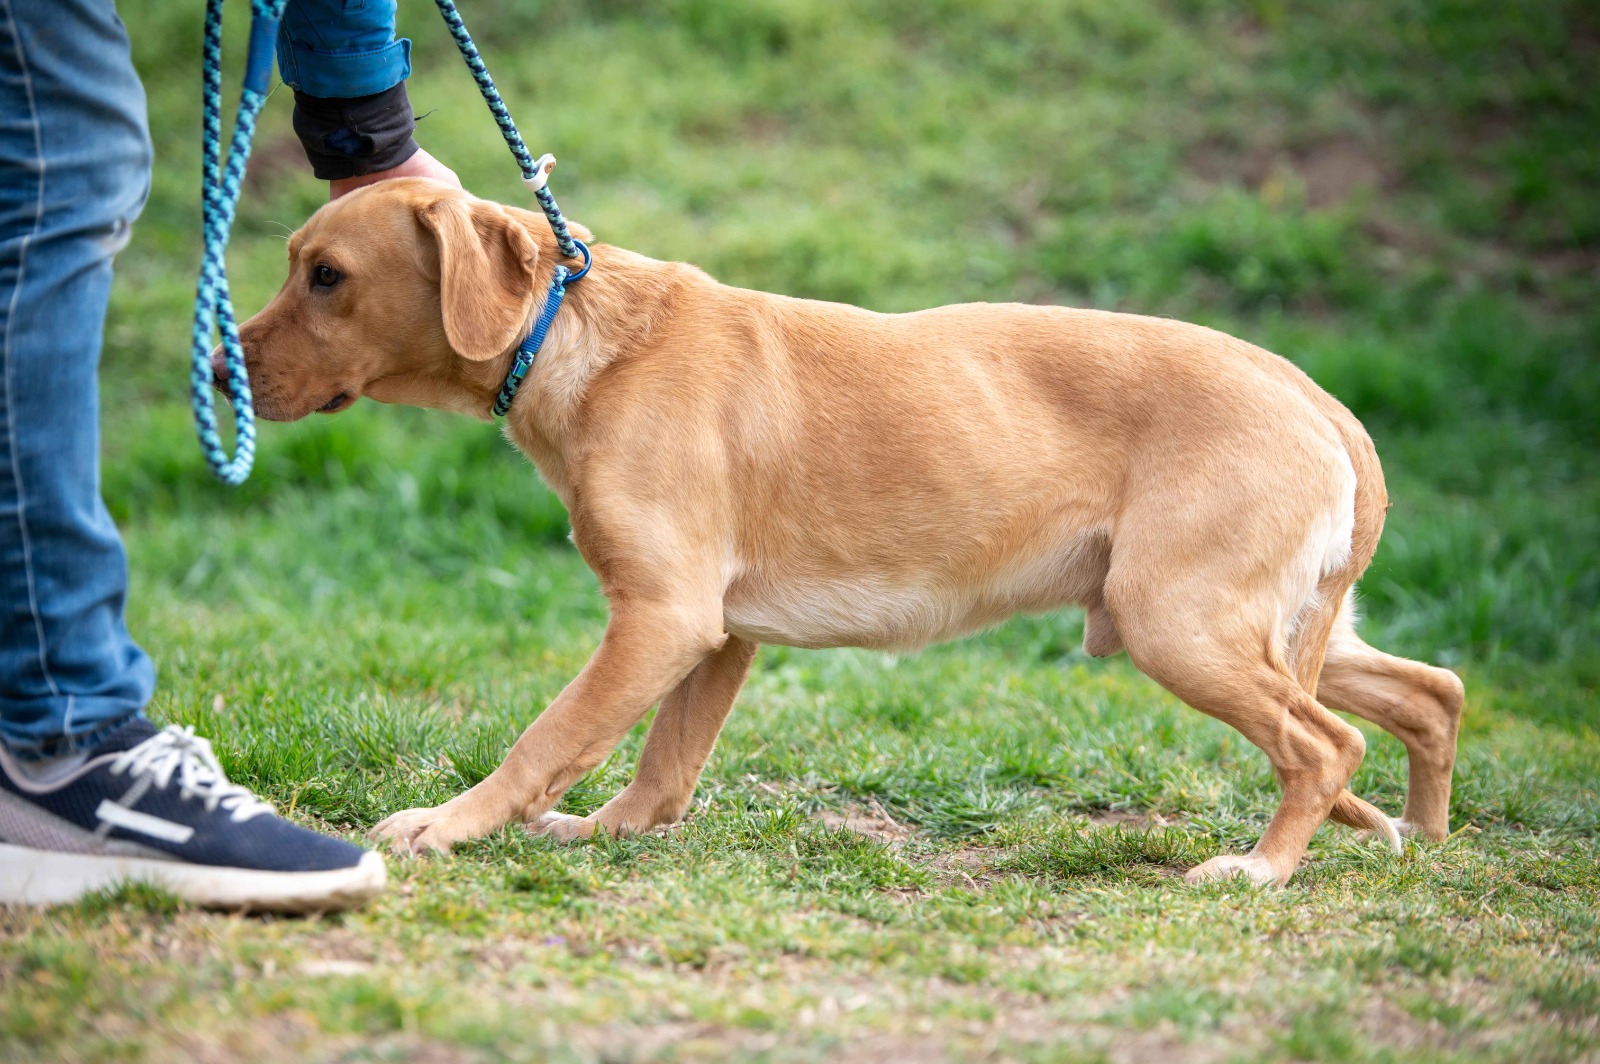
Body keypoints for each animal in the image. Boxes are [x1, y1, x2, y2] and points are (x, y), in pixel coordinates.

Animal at [219, 178, 1465, 885]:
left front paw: (451, 824)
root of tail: (1317, 399)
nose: (223, 371)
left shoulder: (660, 618)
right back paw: (1425, 834)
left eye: (326, 275)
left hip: (1184, 624)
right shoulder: (711, 633)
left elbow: (545, 738)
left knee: (1325, 745)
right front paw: (601, 833)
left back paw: (1260, 869)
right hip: (1268, 625)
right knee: (1428, 692)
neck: (578, 337)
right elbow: (660, 772)